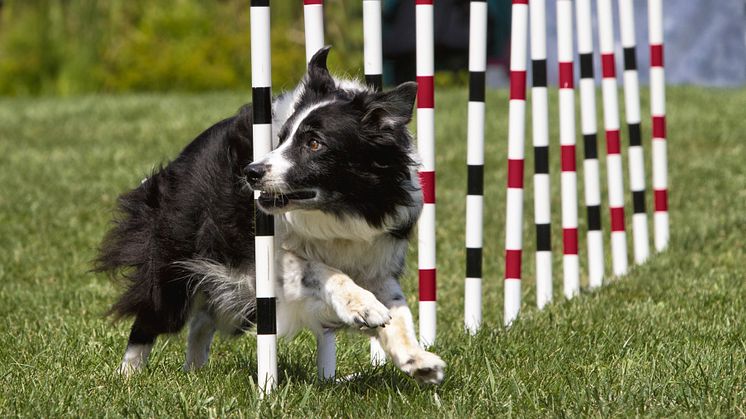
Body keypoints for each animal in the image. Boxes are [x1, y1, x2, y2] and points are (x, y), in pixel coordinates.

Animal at [93, 47, 442, 386]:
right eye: (282, 138)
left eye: (314, 143)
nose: (251, 172)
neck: (337, 211)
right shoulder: (258, 258)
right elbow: (320, 269)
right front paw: (363, 307)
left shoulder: (374, 253)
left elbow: (398, 308)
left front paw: (416, 358)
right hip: (178, 262)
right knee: (153, 315)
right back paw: (128, 376)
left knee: (204, 318)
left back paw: (194, 372)